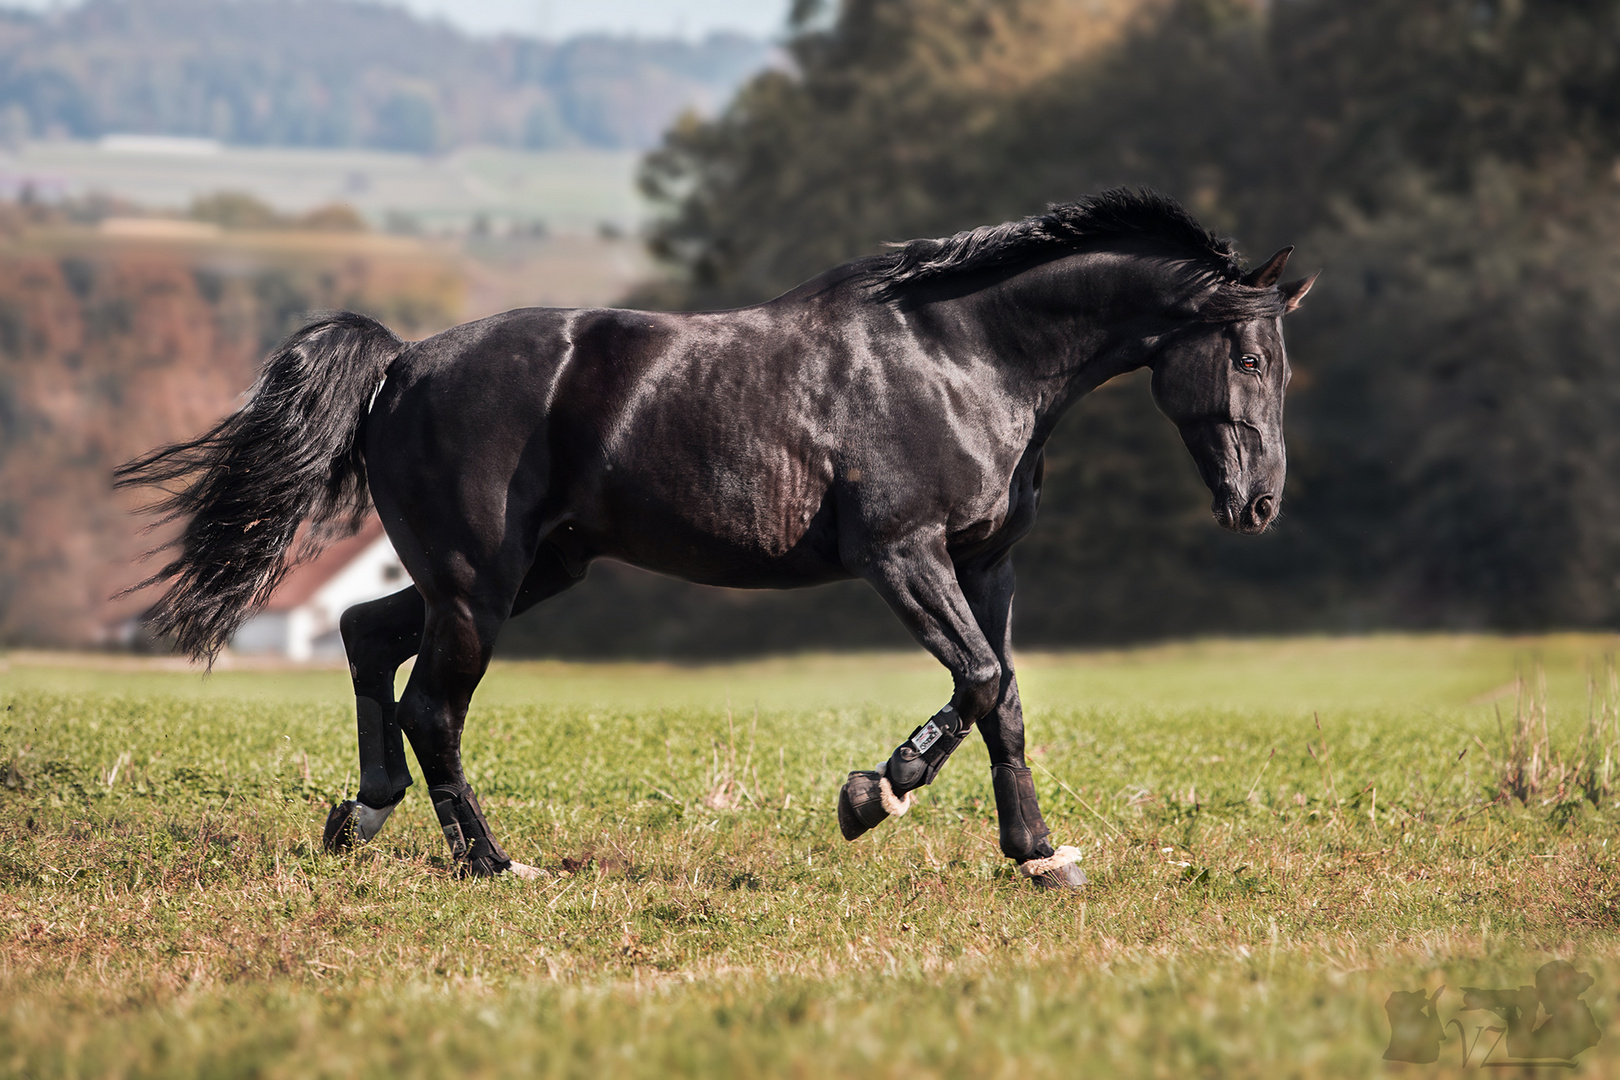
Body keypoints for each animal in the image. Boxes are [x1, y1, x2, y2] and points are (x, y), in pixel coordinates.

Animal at [123, 190, 1315, 893]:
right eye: (1252, 359)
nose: (1257, 504)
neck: (963, 357)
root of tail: (403, 364)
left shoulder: (987, 561)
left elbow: (1004, 697)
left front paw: (1038, 858)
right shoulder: (903, 554)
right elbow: (977, 682)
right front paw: (870, 797)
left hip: (526, 571)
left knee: (369, 636)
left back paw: (361, 818)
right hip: (481, 584)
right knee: (432, 707)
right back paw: (494, 865)